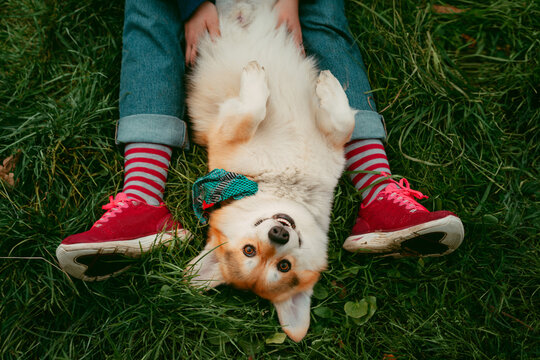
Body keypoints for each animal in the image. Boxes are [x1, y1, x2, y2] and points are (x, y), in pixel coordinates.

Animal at [188, 0, 356, 342]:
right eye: (250, 251)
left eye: (283, 266)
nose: (279, 233)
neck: (285, 185)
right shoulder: (226, 131)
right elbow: (253, 109)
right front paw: (256, 78)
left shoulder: (333, 146)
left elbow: (344, 121)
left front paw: (328, 88)